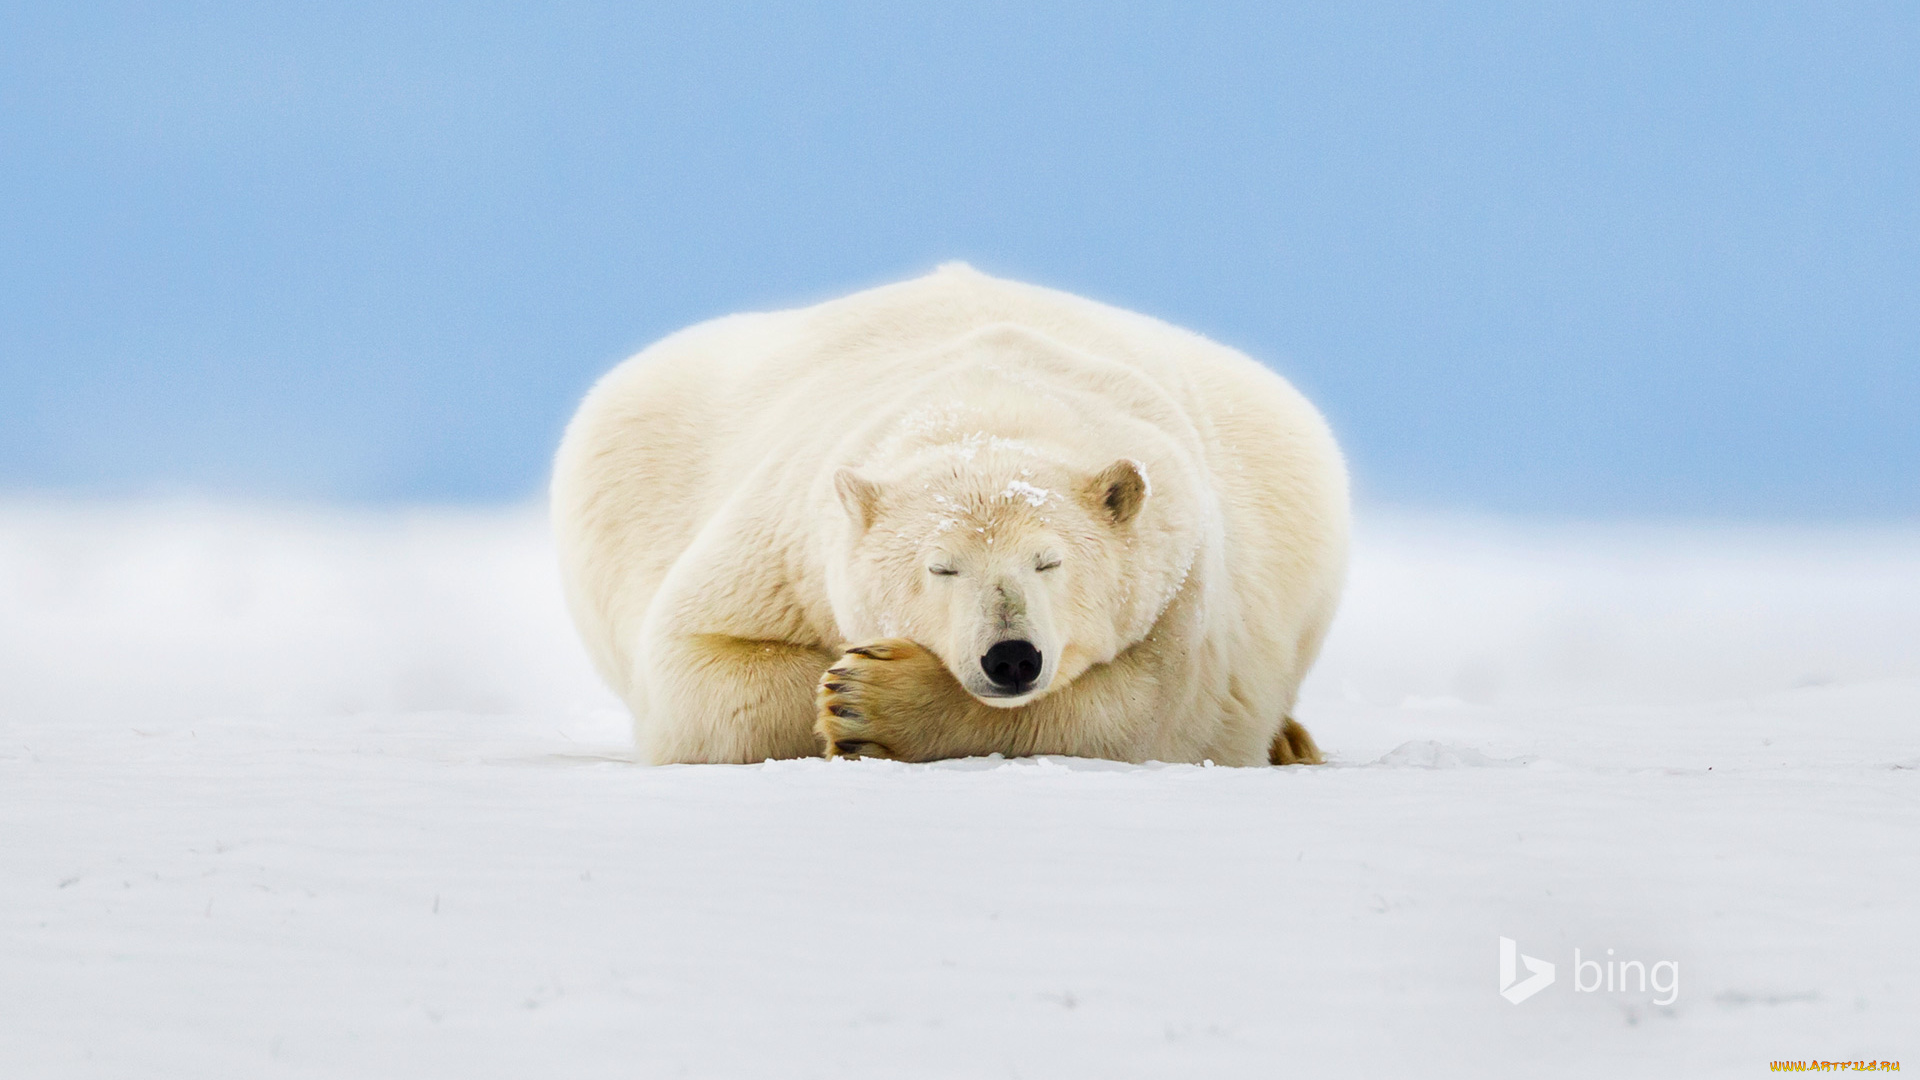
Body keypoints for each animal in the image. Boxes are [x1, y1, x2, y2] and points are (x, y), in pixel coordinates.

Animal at [549, 263, 1344, 760]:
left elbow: (1152, 711)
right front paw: (841, 687)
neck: (989, 400)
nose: (1011, 656)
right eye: (942, 568)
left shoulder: (1184, 577)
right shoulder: (782, 547)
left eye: (1050, 562)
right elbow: (697, 668)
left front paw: (874, 700)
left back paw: (1292, 742)